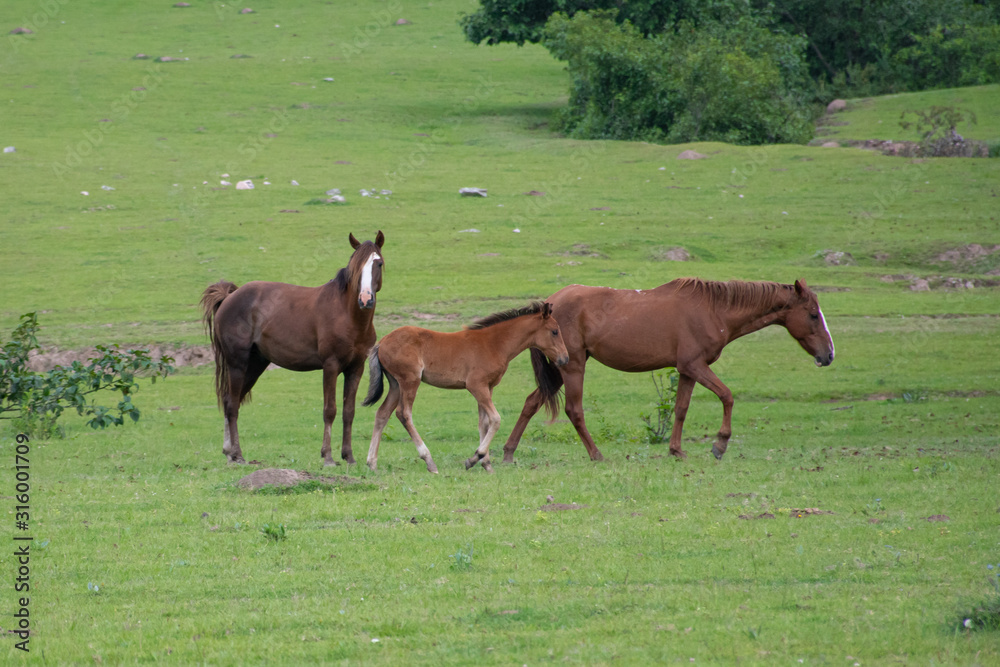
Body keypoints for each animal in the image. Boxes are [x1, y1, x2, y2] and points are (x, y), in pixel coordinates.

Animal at [200, 231, 385, 465]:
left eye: (378, 263)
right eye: (356, 266)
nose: (365, 299)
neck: (348, 316)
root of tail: (229, 298)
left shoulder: (355, 368)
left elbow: (348, 412)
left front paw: (349, 456)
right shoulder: (331, 366)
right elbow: (330, 410)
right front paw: (328, 456)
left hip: (255, 365)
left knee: (229, 401)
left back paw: (229, 452)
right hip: (237, 364)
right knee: (232, 405)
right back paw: (238, 454)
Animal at [362, 302, 570, 473]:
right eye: (554, 331)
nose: (564, 358)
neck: (494, 344)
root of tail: (381, 343)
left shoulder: (488, 387)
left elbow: (484, 422)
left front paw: (486, 464)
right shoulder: (476, 385)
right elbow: (495, 419)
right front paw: (475, 459)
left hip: (396, 384)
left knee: (382, 413)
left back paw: (372, 463)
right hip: (410, 380)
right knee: (403, 413)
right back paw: (429, 461)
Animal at [501, 278, 835, 462]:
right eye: (813, 314)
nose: (829, 355)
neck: (714, 310)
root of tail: (551, 303)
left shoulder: (687, 371)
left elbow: (681, 408)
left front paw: (676, 451)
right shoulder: (695, 365)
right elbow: (727, 396)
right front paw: (720, 444)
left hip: (559, 370)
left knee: (531, 403)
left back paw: (508, 451)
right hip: (572, 367)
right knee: (574, 410)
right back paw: (596, 454)